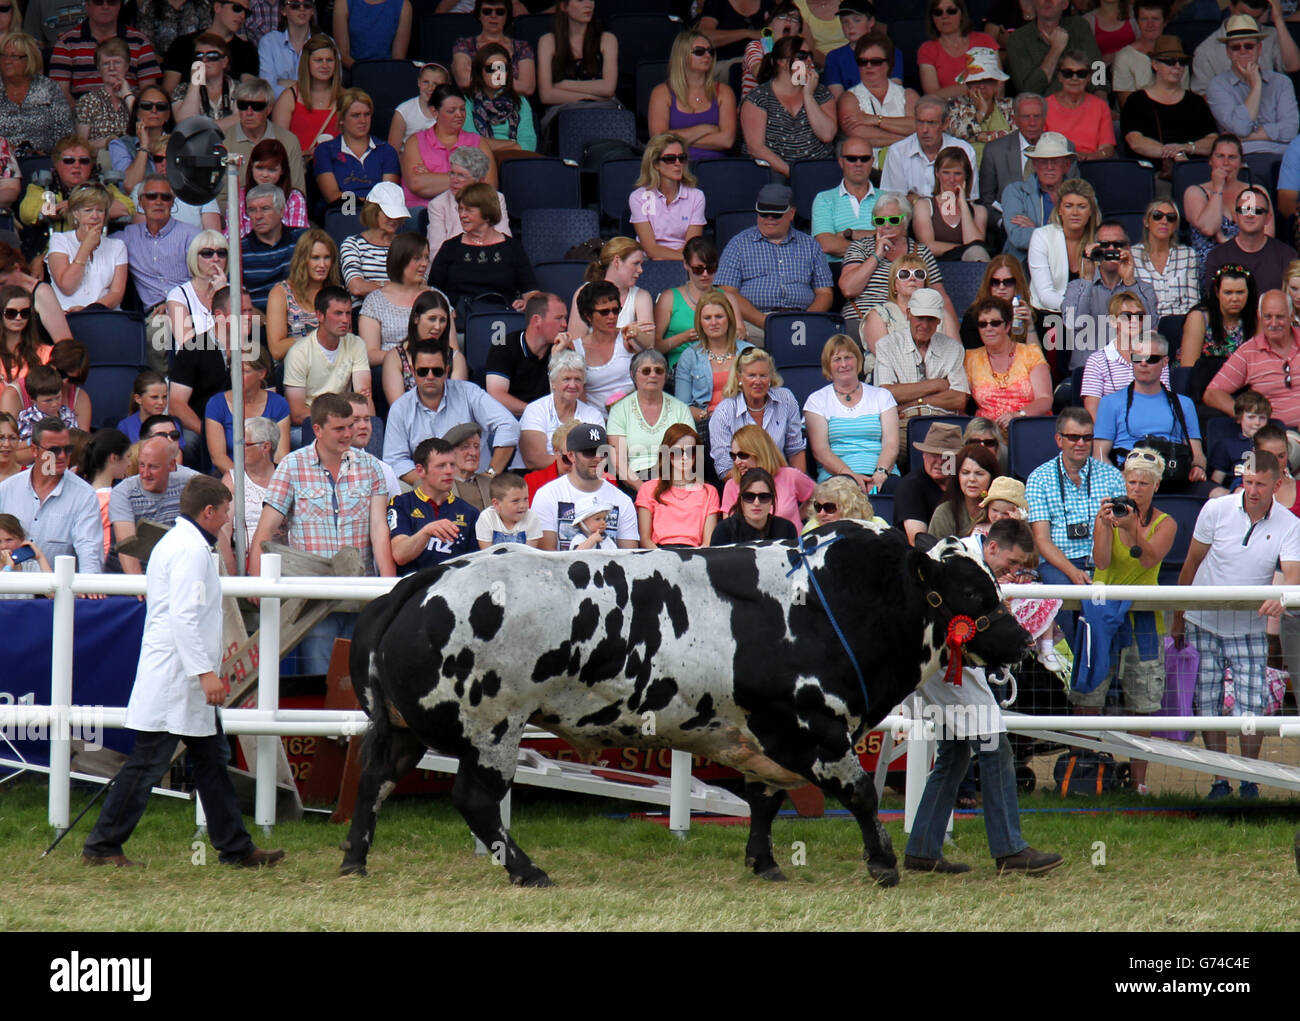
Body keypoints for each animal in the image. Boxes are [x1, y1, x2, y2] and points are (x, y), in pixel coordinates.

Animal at [340, 517, 1029, 884]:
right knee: (476, 800)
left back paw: (355, 861)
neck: (828, 602)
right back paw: (527, 870)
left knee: (373, 781)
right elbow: (859, 792)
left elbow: (764, 801)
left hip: (401, 728)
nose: (1021, 640)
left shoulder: (758, 738)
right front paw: (883, 864)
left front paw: (764, 862)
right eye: (972, 591)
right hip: (493, 728)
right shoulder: (811, 728)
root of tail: (425, 579)